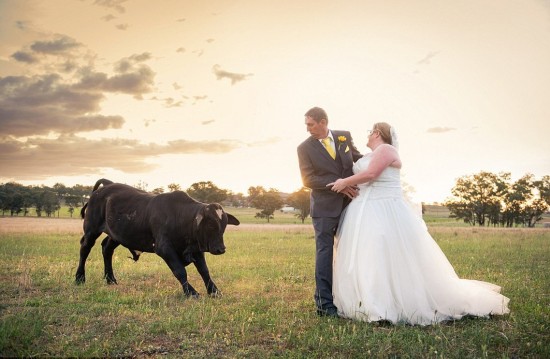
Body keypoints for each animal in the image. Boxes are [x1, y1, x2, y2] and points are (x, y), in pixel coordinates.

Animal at [75, 178, 239, 298]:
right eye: (210, 225)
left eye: (224, 225)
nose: (220, 249)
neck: (181, 216)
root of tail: (107, 185)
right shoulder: (164, 249)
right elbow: (180, 271)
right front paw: (191, 292)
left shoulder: (196, 249)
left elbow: (204, 271)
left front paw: (214, 291)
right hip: (91, 230)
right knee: (85, 249)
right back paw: (79, 278)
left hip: (117, 235)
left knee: (106, 249)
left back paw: (110, 279)